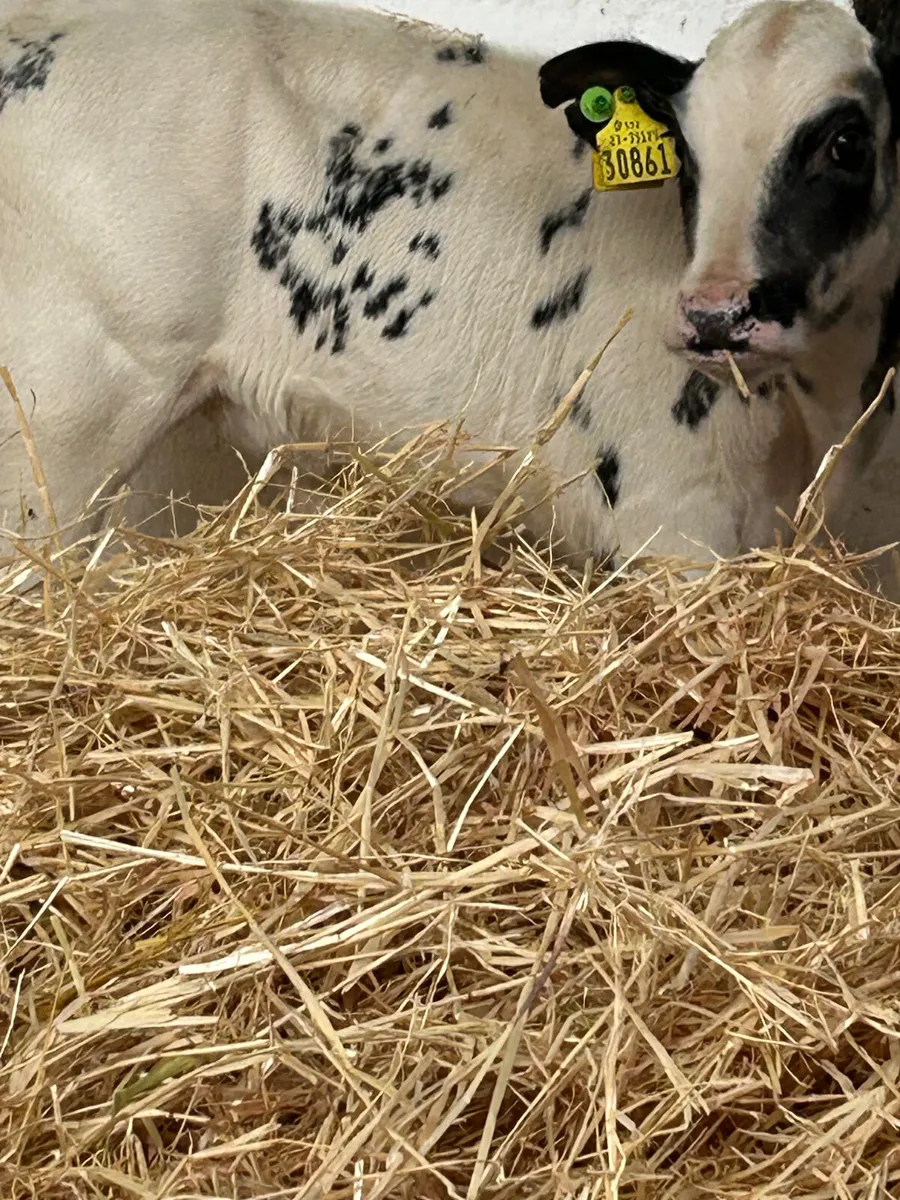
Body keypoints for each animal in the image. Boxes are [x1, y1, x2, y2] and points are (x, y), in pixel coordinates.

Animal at [0, 0, 898, 582]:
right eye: (688, 148)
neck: (823, 412)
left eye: (847, 142)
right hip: (58, 418)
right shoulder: (672, 517)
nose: (714, 317)